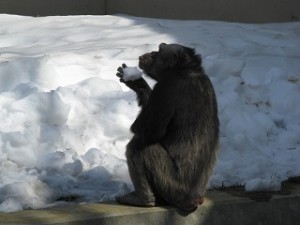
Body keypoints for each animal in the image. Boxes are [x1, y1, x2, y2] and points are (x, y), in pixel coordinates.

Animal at [115, 43, 218, 213]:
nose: (151, 52)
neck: (185, 70)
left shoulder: (166, 88)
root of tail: (195, 201)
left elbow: (149, 130)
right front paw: (138, 83)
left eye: (160, 49)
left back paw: (143, 199)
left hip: (171, 186)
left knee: (139, 147)